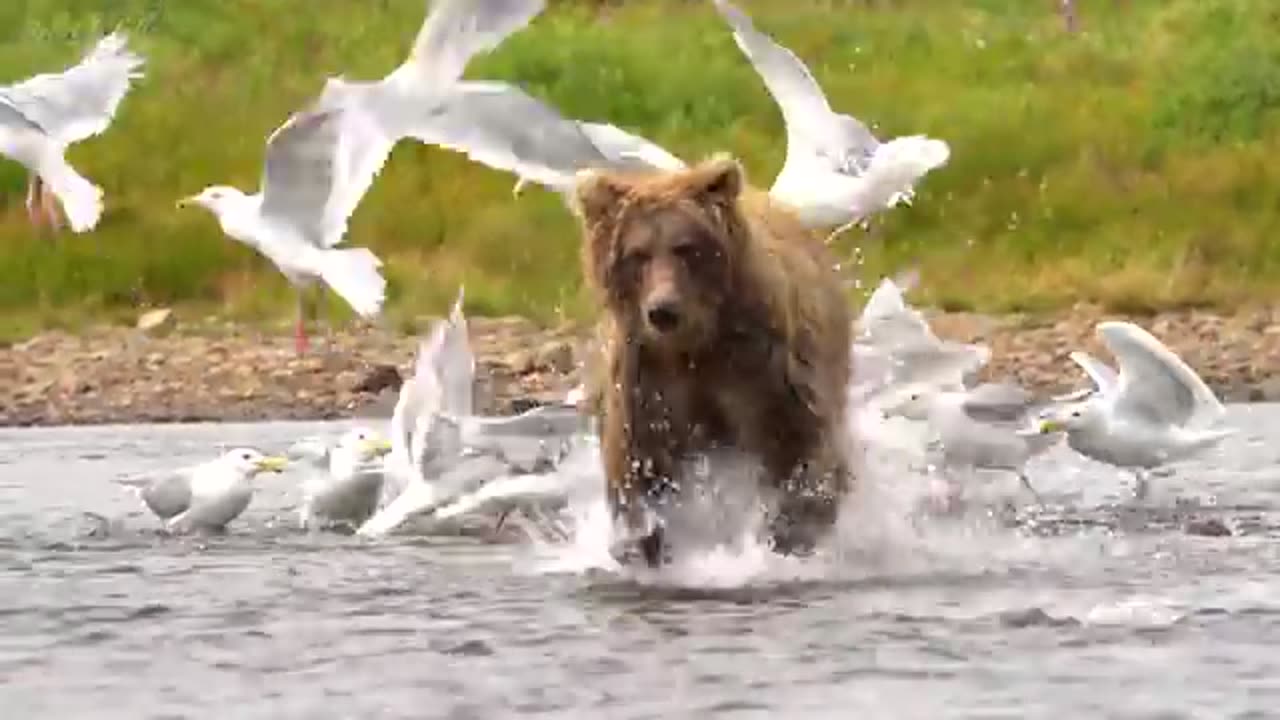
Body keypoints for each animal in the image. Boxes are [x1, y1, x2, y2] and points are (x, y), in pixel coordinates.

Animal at [576, 152, 855, 566]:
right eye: (638, 254)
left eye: (686, 247)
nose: (663, 311)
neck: (696, 345)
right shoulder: (648, 379)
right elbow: (638, 461)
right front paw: (643, 540)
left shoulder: (760, 369)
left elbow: (798, 445)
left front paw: (788, 533)